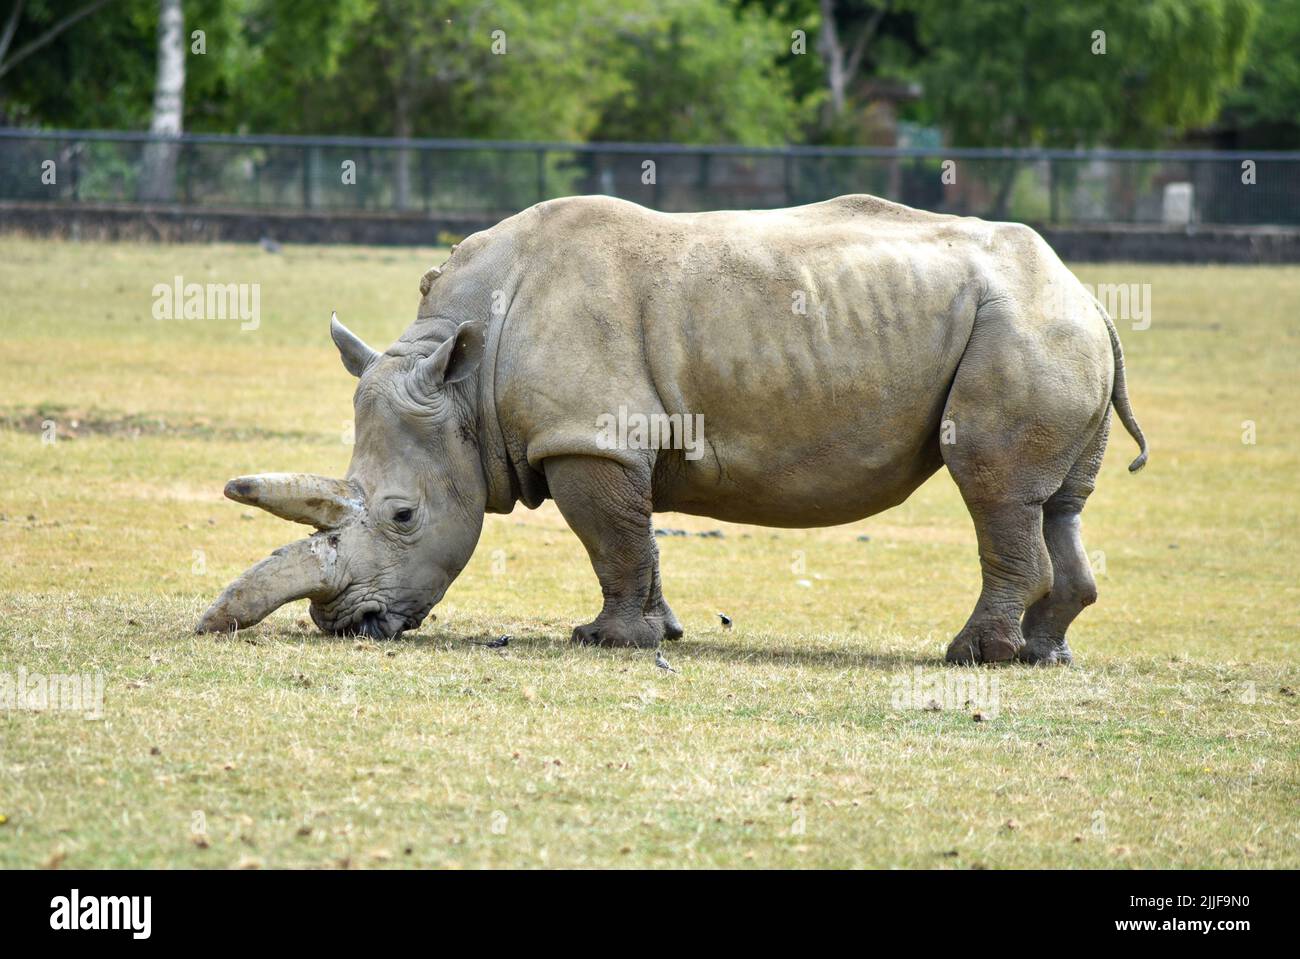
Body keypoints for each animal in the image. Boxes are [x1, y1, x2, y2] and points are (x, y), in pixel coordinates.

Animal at [197, 194, 1147, 665]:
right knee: (1056, 503)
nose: (343, 622)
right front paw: (666, 632)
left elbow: (611, 538)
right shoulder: (607, 436)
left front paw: (607, 643)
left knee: (995, 491)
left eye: (401, 516)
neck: (462, 379)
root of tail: (1089, 294)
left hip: (1025, 326)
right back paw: (1044, 655)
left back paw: (973, 658)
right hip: (1048, 325)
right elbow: (638, 538)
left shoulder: (586, 434)